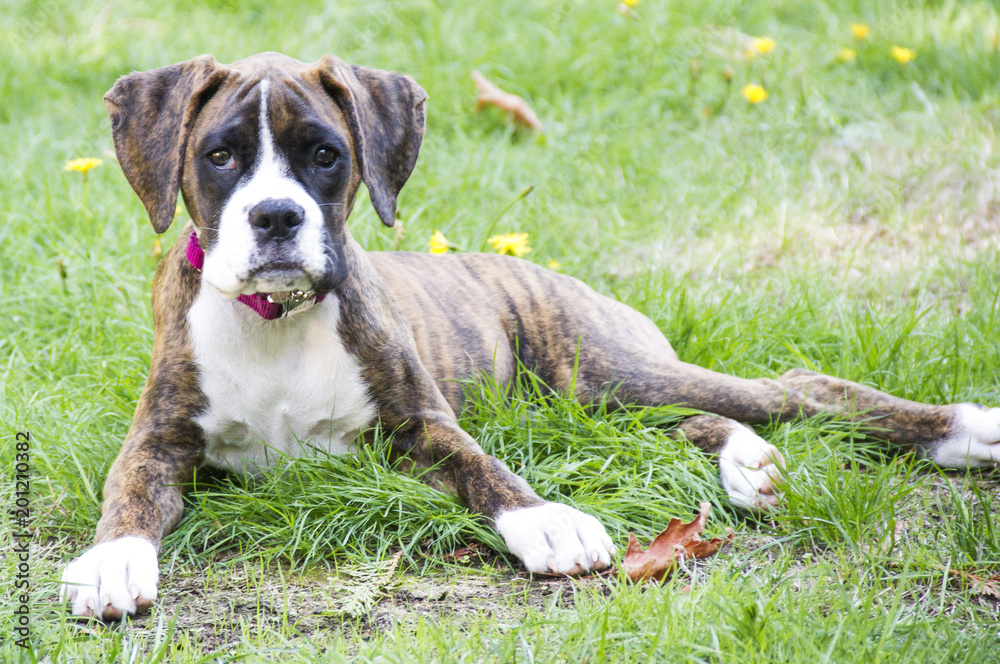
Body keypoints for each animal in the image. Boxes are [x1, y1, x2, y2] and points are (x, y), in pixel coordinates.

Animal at [60, 53, 1000, 624]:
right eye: (219, 157)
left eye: (324, 154)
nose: (277, 217)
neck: (278, 319)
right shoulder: (159, 439)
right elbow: (129, 495)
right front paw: (112, 562)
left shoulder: (423, 426)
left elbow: (489, 472)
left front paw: (547, 523)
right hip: (596, 402)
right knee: (697, 422)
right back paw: (751, 465)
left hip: (609, 370)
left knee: (796, 389)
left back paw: (964, 430)